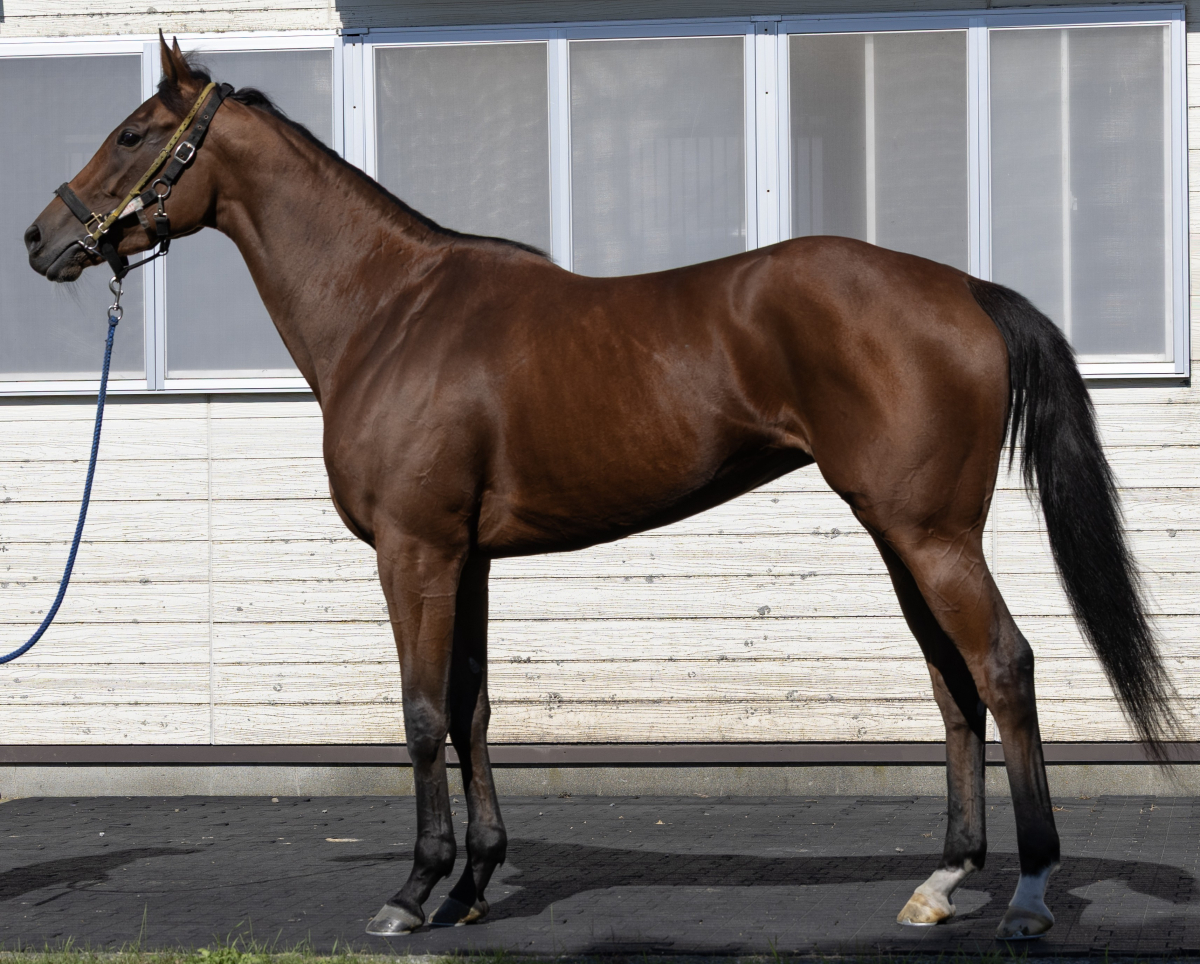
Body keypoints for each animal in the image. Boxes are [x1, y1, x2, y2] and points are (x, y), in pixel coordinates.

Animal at [25, 35, 1178, 941]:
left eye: (133, 132)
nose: (43, 237)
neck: (388, 312)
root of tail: (966, 288)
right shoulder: (470, 558)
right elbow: (472, 706)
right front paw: (474, 883)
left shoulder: (415, 550)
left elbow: (418, 712)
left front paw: (413, 889)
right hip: (903, 534)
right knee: (953, 686)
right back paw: (942, 881)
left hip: (933, 534)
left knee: (1005, 667)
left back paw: (1028, 892)